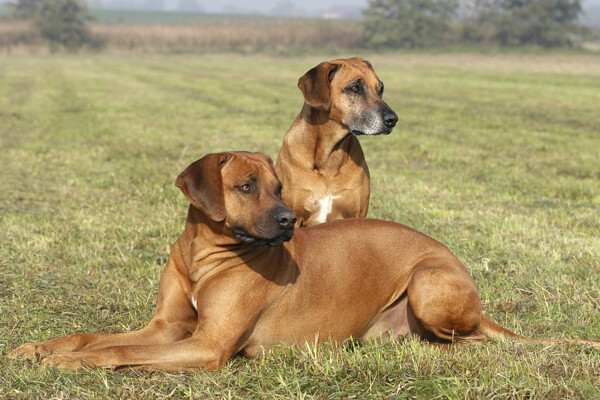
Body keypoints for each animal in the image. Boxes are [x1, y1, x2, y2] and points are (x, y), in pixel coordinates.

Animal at [10, 152, 600, 370]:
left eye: (278, 186)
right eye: (246, 186)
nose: (289, 221)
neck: (206, 256)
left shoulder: (207, 345)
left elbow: (118, 350)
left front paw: (68, 363)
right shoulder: (167, 327)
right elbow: (96, 336)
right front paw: (40, 348)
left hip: (429, 280)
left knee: (472, 341)